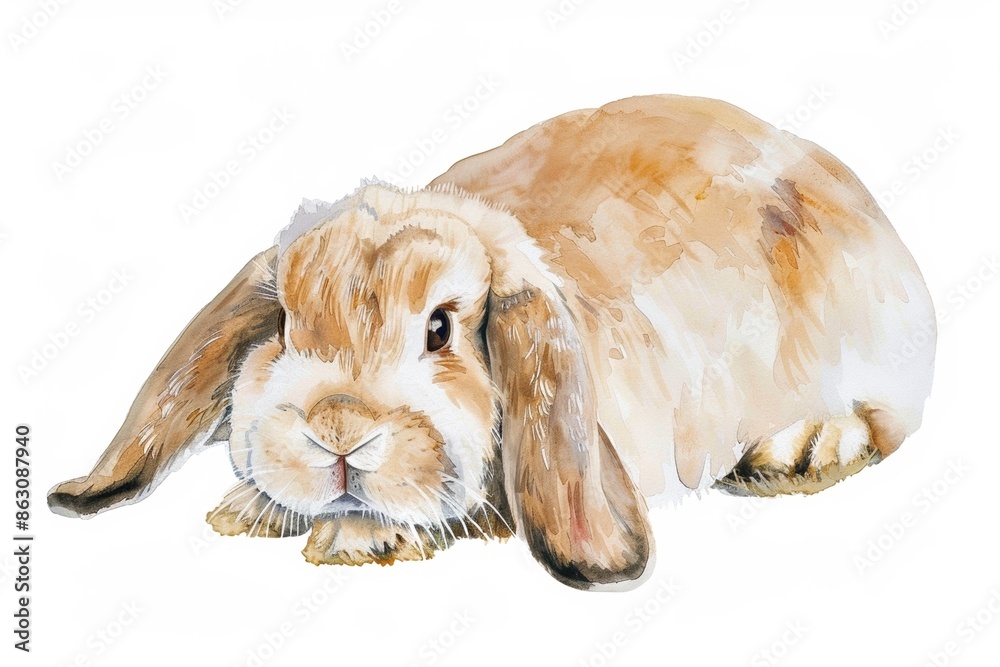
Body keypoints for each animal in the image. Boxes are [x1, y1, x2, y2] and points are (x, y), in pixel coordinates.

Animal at [48, 94, 936, 590]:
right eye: (287, 326)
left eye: (441, 327)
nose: (338, 429)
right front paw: (249, 509)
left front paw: (357, 538)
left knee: (887, 422)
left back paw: (803, 448)